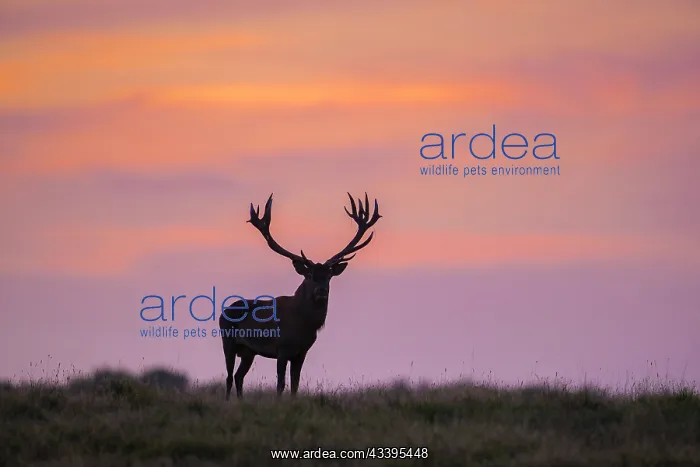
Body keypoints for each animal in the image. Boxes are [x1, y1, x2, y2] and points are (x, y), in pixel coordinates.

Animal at [219, 192, 382, 400]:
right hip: (228, 341)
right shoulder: (281, 348)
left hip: (249, 351)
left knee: (239, 377)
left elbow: (295, 385)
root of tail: (223, 312)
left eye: (329, 275)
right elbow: (280, 384)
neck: (302, 325)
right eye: (310, 274)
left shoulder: (301, 352)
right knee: (229, 377)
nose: (321, 290)